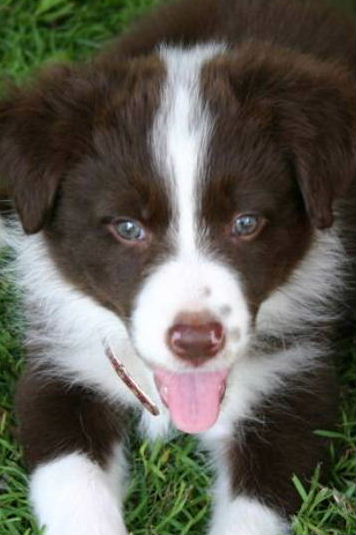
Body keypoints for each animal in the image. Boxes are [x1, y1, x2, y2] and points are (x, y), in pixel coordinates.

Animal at [0, 1, 354, 535]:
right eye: (128, 227)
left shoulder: (293, 391)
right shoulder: (59, 375)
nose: (195, 342)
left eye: (245, 222)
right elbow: (74, 488)